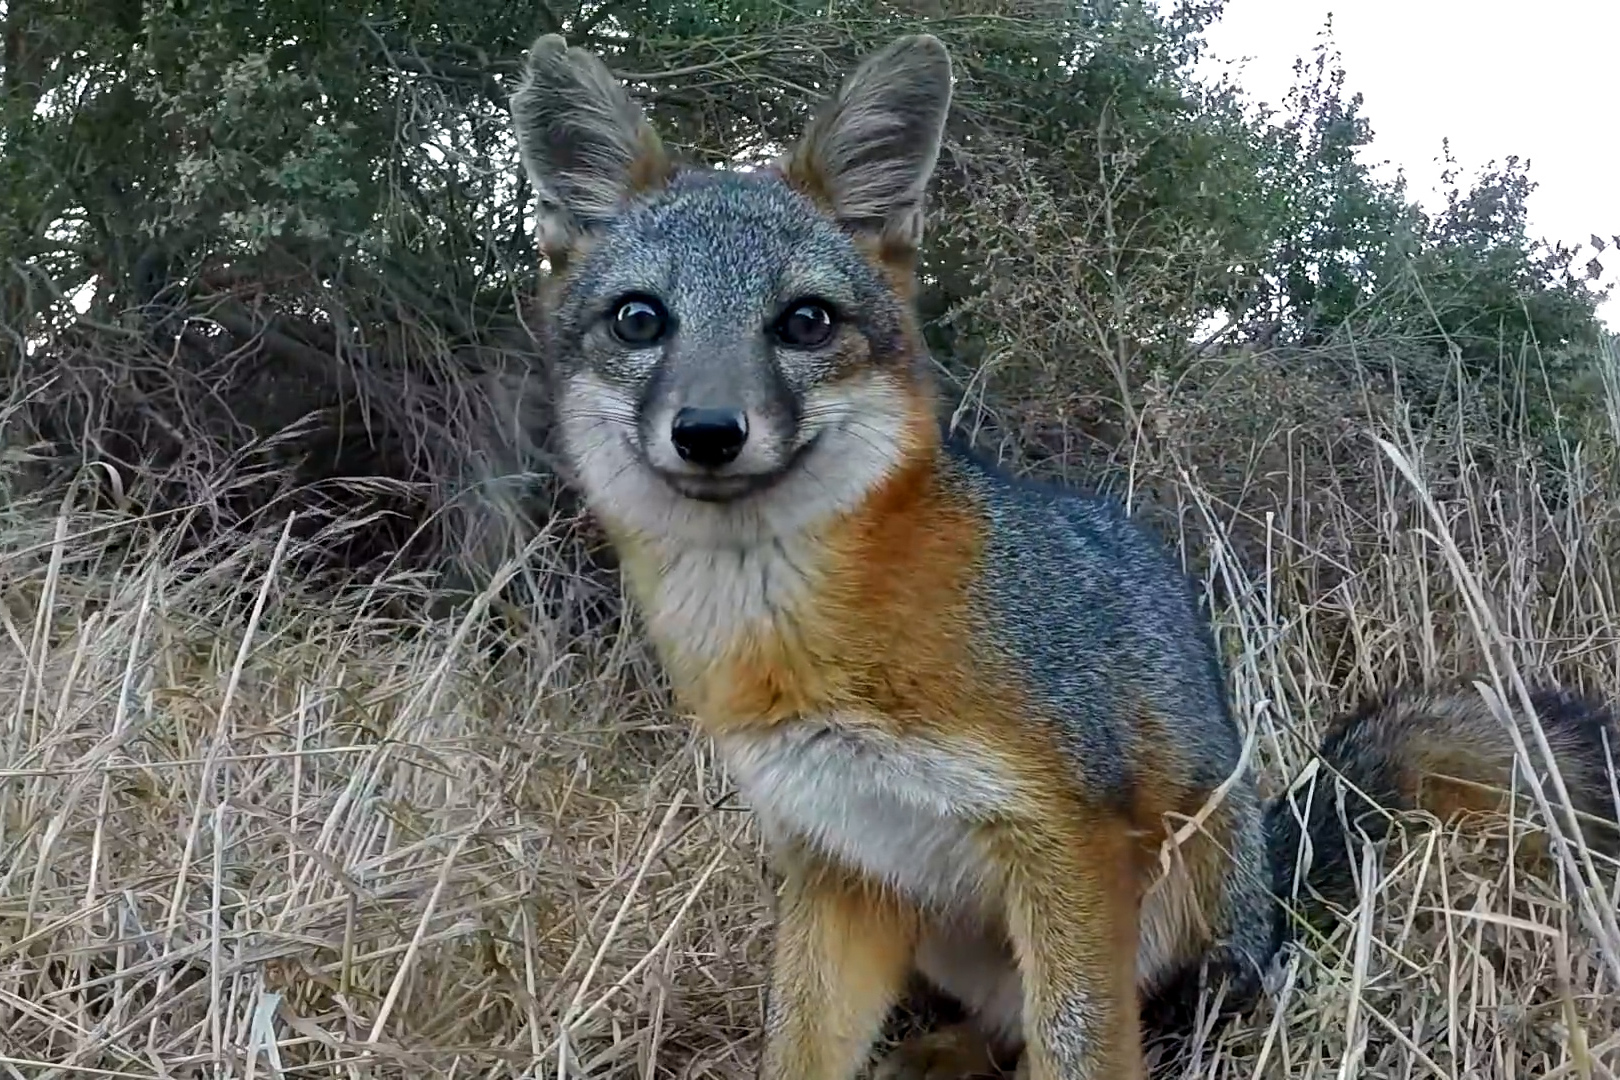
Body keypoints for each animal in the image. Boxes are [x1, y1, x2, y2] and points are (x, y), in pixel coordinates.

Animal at [511, 29, 1620, 1080]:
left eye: (805, 322)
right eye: (641, 319)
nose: (708, 431)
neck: (804, 651)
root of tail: (1273, 878)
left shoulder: (1067, 841)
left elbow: (1083, 1052)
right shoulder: (837, 865)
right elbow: (800, 1050)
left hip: (1183, 908)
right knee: (997, 1029)